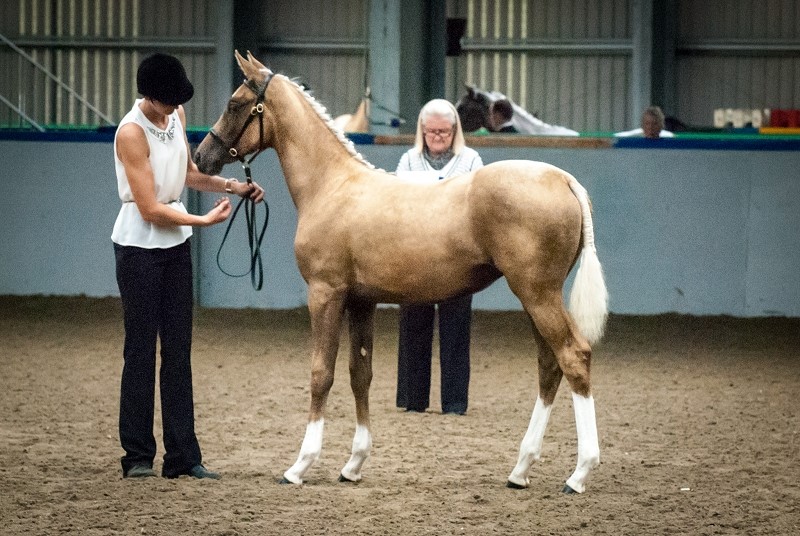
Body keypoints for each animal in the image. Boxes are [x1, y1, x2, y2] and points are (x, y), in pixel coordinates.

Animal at [194, 51, 608, 494]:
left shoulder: (325, 294)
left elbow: (321, 373)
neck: (332, 187)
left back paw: (579, 473)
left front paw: (300, 466)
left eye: (235, 103)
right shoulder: (361, 302)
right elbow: (360, 373)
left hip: (537, 293)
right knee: (549, 365)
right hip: (536, 297)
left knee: (574, 357)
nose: (201, 157)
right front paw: (353, 464)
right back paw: (521, 469)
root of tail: (562, 178)